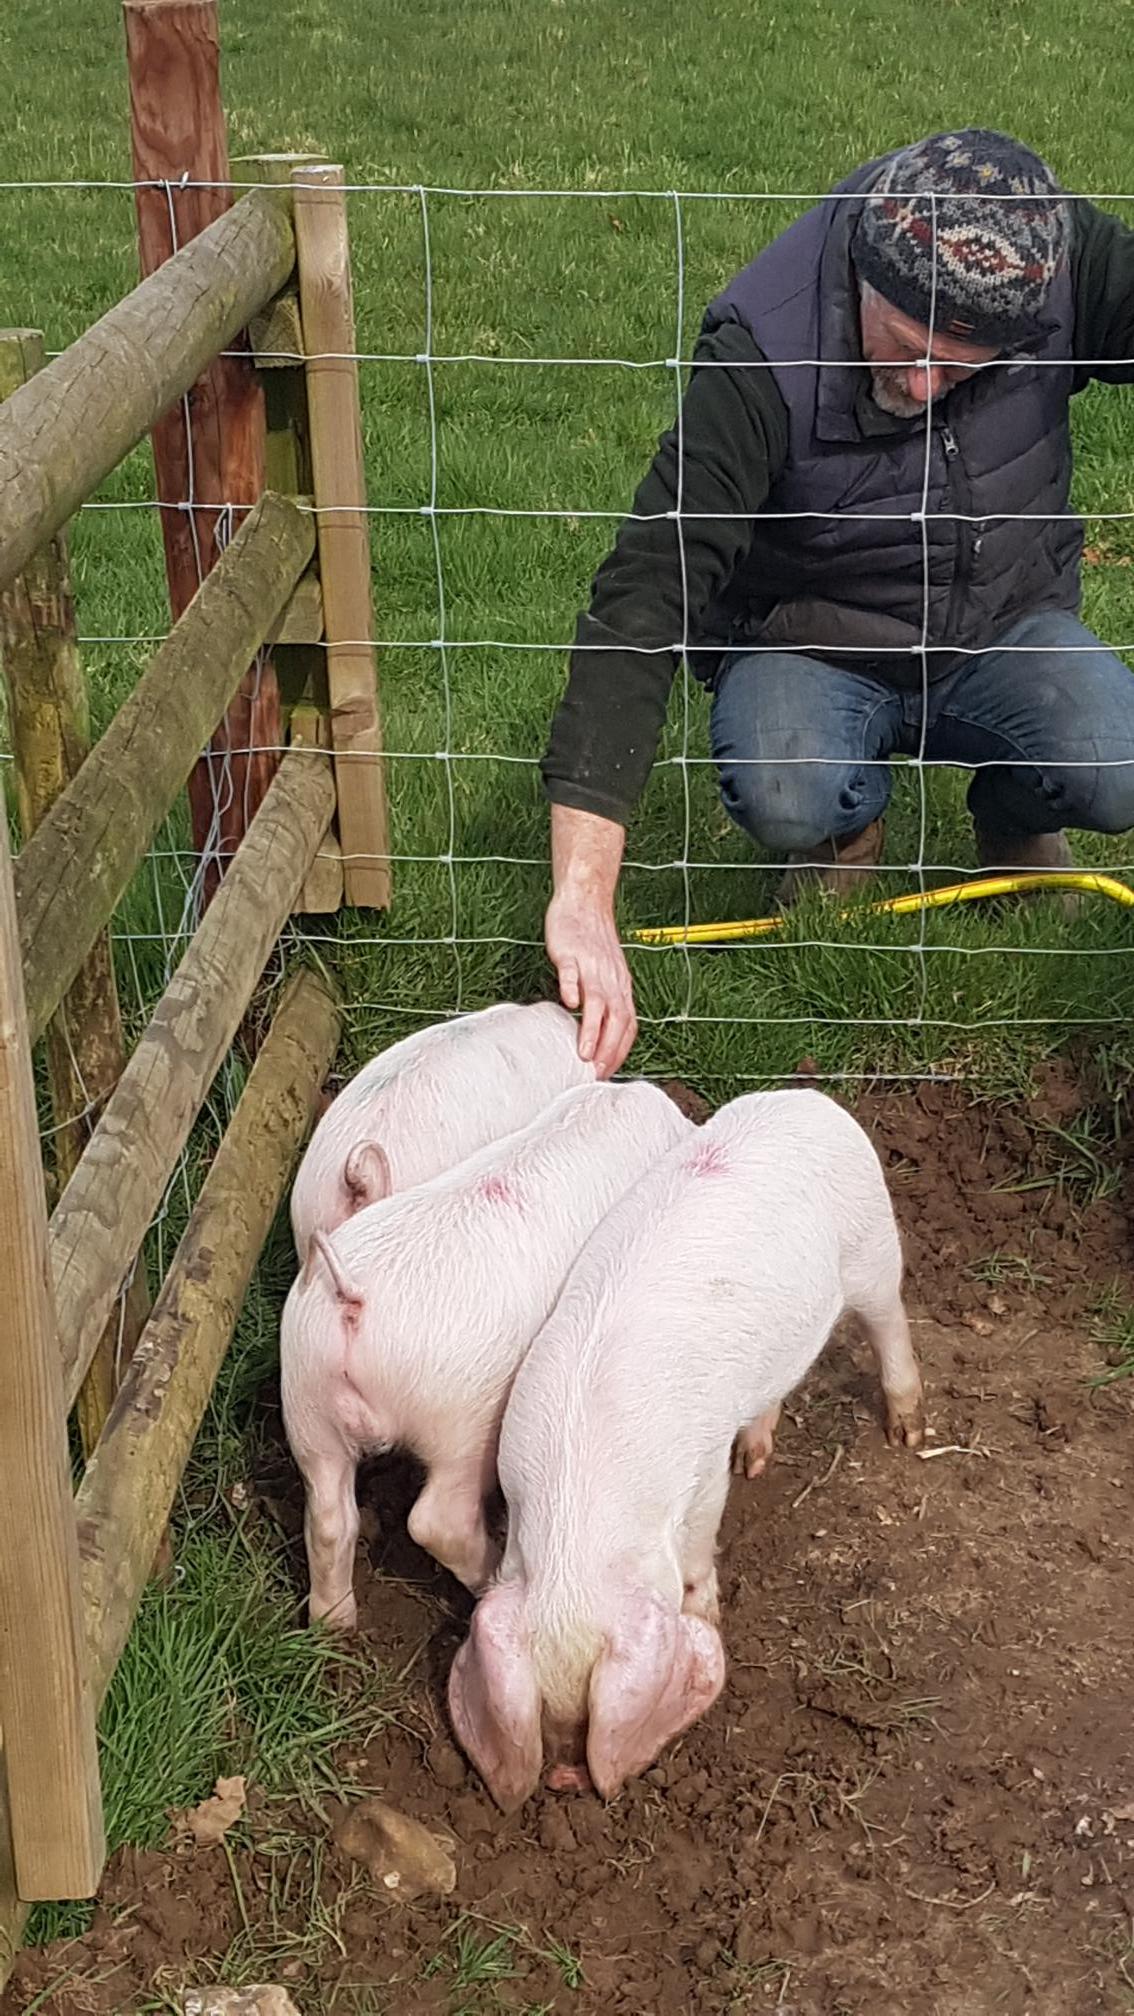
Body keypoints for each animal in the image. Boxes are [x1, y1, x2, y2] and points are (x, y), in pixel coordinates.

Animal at [280, 1078, 691, 1631]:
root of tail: (354, 1298)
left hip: (305, 1397)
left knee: (328, 1516)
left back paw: (335, 1625)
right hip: (463, 1419)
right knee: (435, 1520)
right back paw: (488, 1574)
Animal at [448, 1087, 926, 1812]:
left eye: (588, 1711)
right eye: (546, 1708)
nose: (562, 1778)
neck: (579, 1508)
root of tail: (809, 1098)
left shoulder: (699, 1476)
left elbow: (701, 1543)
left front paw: (706, 1609)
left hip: (871, 1242)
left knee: (890, 1320)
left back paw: (908, 1432)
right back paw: (755, 1456)